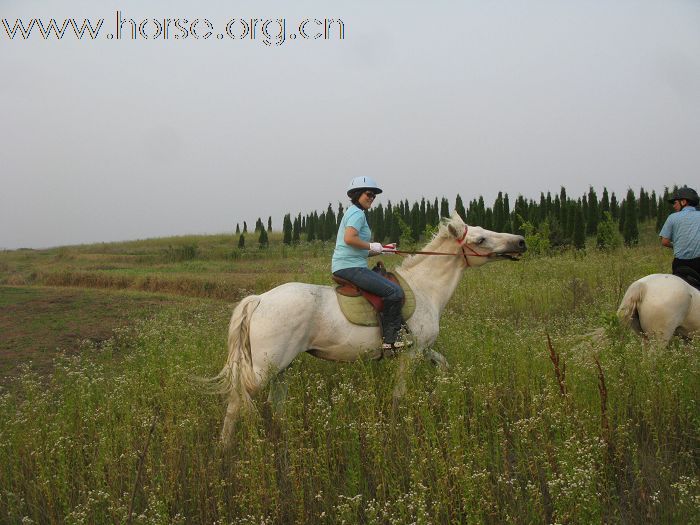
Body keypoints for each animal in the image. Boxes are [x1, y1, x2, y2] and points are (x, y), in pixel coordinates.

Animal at [213, 213, 524, 442]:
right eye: (481, 238)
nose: (520, 241)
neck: (424, 289)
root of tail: (260, 299)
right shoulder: (411, 354)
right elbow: (399, 395)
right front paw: (395, 430)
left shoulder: (424, 349)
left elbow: (444, 365)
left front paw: (437, 397)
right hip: (265, 367)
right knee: (237, 400)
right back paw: (225, 450)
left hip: (282, 367)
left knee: (274, 404)